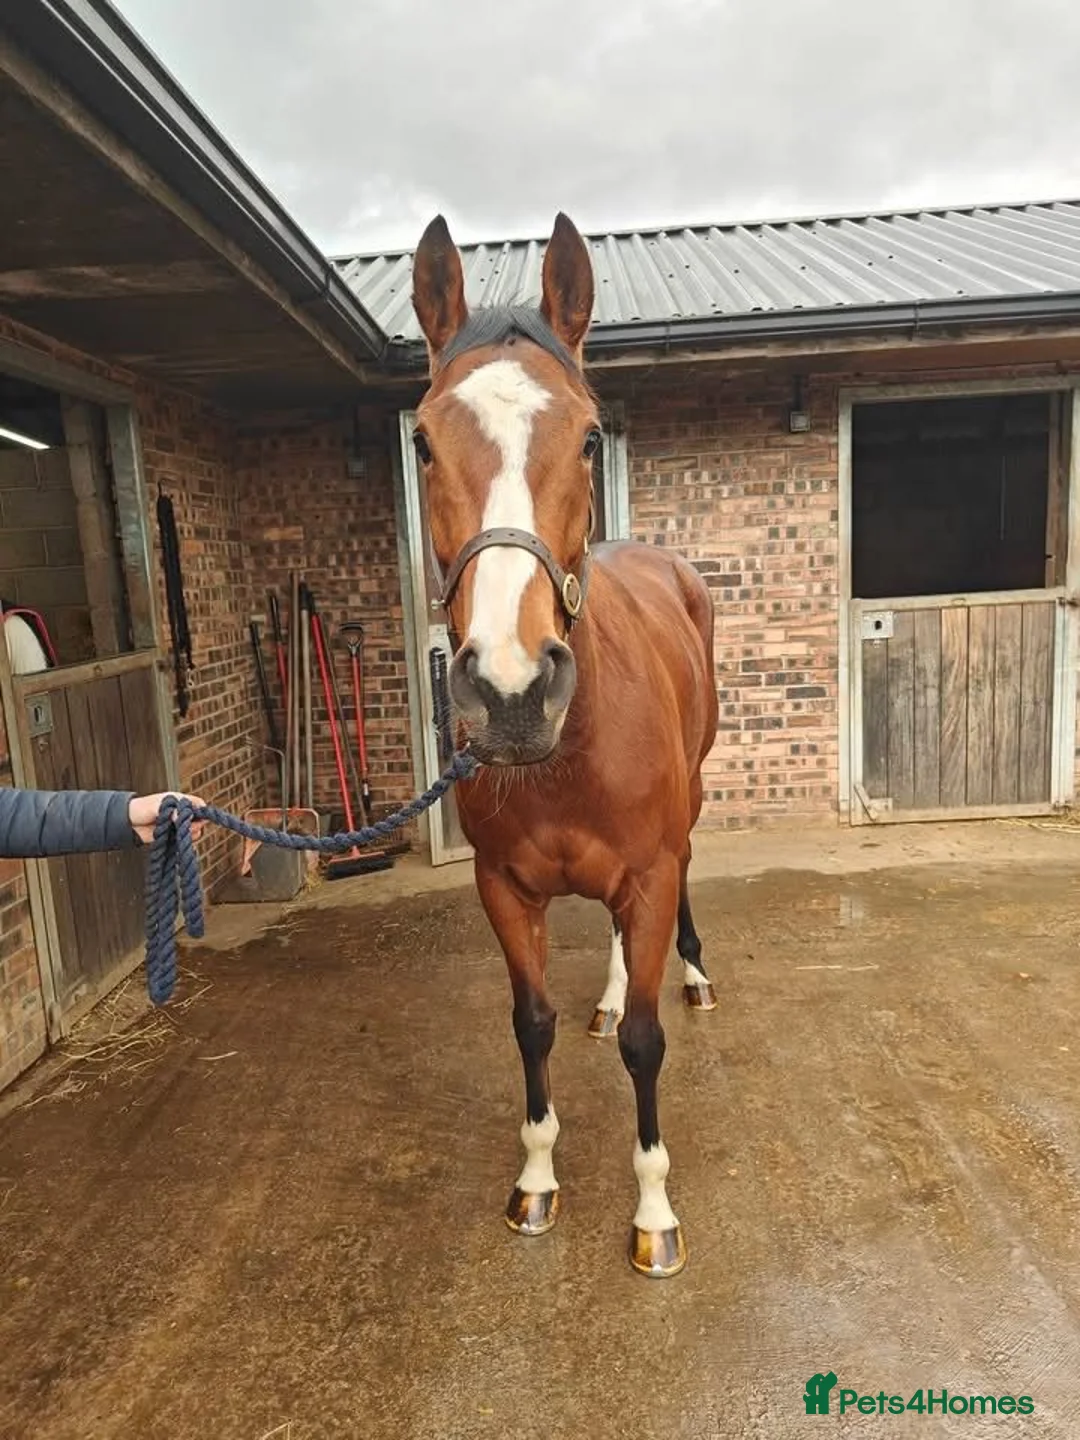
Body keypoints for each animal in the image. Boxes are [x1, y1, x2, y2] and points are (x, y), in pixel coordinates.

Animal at [410, 211, 719, 1277]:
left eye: (588, 434)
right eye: (422, 442)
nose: (510, 691)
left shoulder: (651, 871)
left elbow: (645, 1043)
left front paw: (656, 1213)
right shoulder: (503, 888)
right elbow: (532, 1024)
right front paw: (536, 1180)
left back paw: (695, 974)